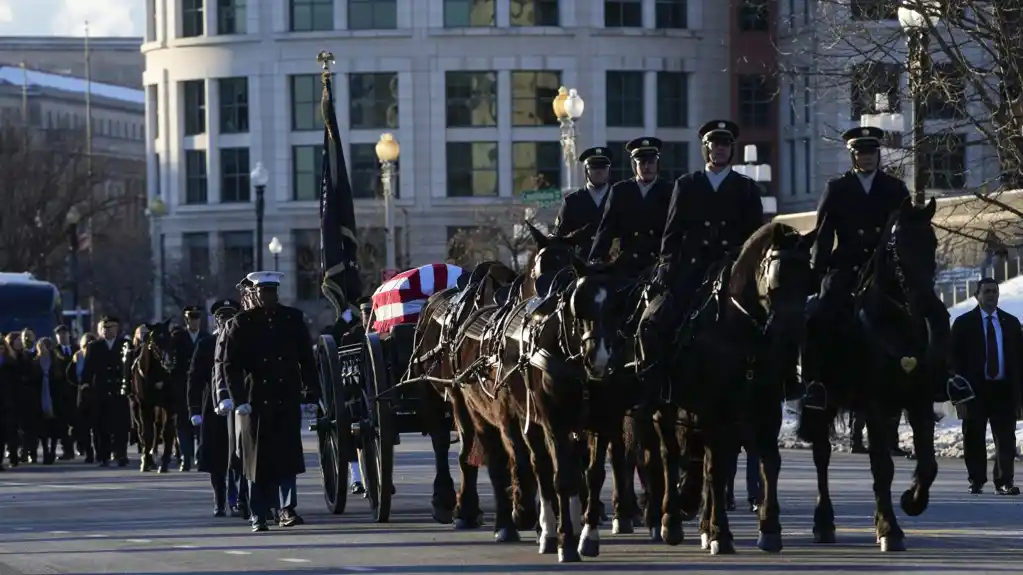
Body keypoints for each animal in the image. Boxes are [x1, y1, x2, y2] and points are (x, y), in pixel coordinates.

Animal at [130, 317, 176, 470]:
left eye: (170, 338)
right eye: (155, 341)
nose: (168, 363)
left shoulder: (168, 403)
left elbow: (167, 430)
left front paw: (165, 461)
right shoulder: (145, 404)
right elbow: (147, 432)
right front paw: (146, 461)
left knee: (157, 425)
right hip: (136, 405)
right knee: (142, 428)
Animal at [654, 219, 814, 552]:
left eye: (809, 282)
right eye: (777, 279)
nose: (792, 338)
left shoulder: (767, 407)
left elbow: (769, 462)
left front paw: (769, 528)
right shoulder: (716, 411)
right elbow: (716, 469)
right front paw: (720, 533)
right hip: (666, 409)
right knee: (670, 456)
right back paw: (671, 521)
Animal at [793, 196, 945, 552]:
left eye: (932, 243)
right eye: (898, 247)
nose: (929, 306)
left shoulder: (918, 403)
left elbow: (928, 464)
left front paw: (910, 501)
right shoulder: (875, 406)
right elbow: (882, 467)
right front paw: (890, 528)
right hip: (822, 403)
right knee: (822, 456)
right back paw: (823, 523)